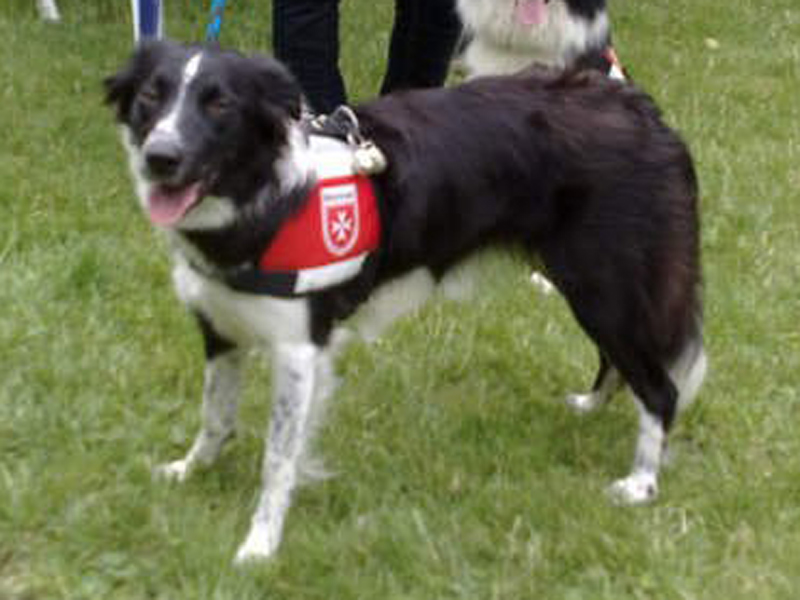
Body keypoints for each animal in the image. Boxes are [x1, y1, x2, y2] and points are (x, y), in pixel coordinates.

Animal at [104, 41, 708, 564]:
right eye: (150, 97)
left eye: (221, 104)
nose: (160, 157)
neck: (262, 195)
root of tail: (638, 107)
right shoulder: (220, 329)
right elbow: (215, 417)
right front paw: (191, 472)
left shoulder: (299, 349)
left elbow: (277, 459)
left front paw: (260, 545)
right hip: (596, 285)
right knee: (622, 362)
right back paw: (591, 406)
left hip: (603, 284)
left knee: (661, 386)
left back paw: (641, 483)